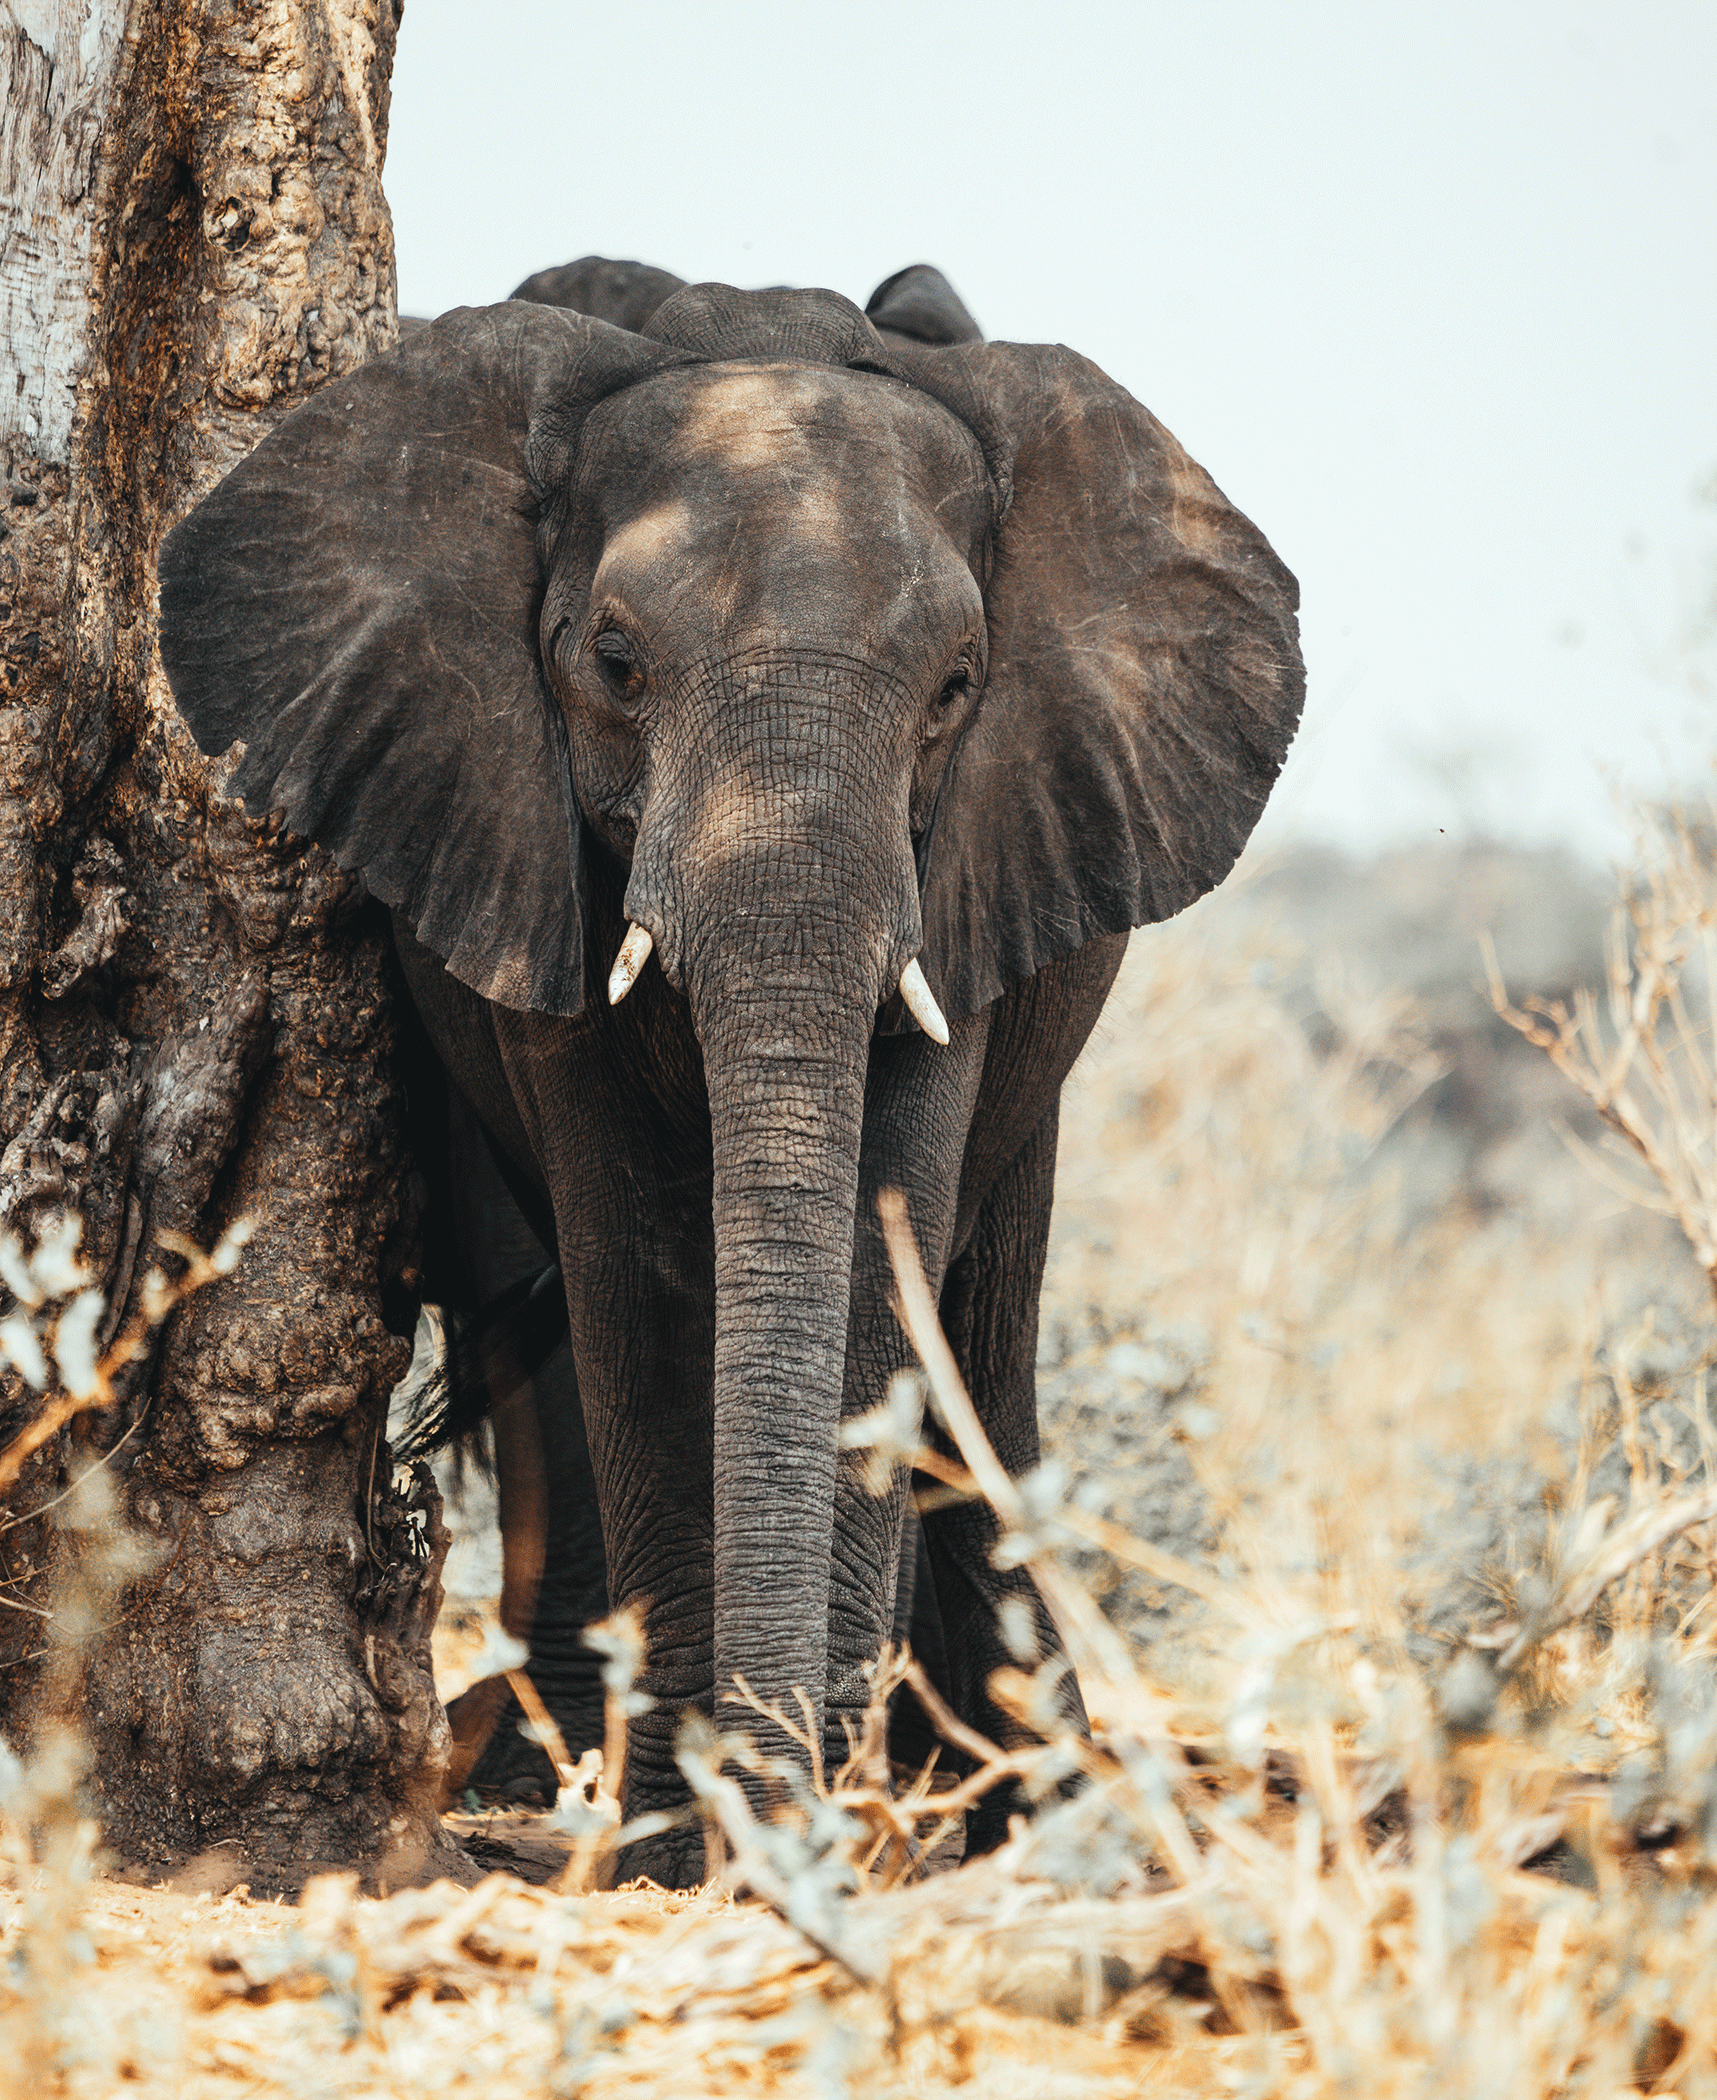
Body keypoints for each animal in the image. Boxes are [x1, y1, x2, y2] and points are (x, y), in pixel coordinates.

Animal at [157, 258, 1304, 1886]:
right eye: (614, 664)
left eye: (957, 687)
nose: (791, 1805)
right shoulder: (529, 839)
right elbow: (633, 1270)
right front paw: (668, 1848)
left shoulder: (960, 865)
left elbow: (887, 1253)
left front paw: (818, 1823)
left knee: (987, 1329)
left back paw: (1032, 1813)